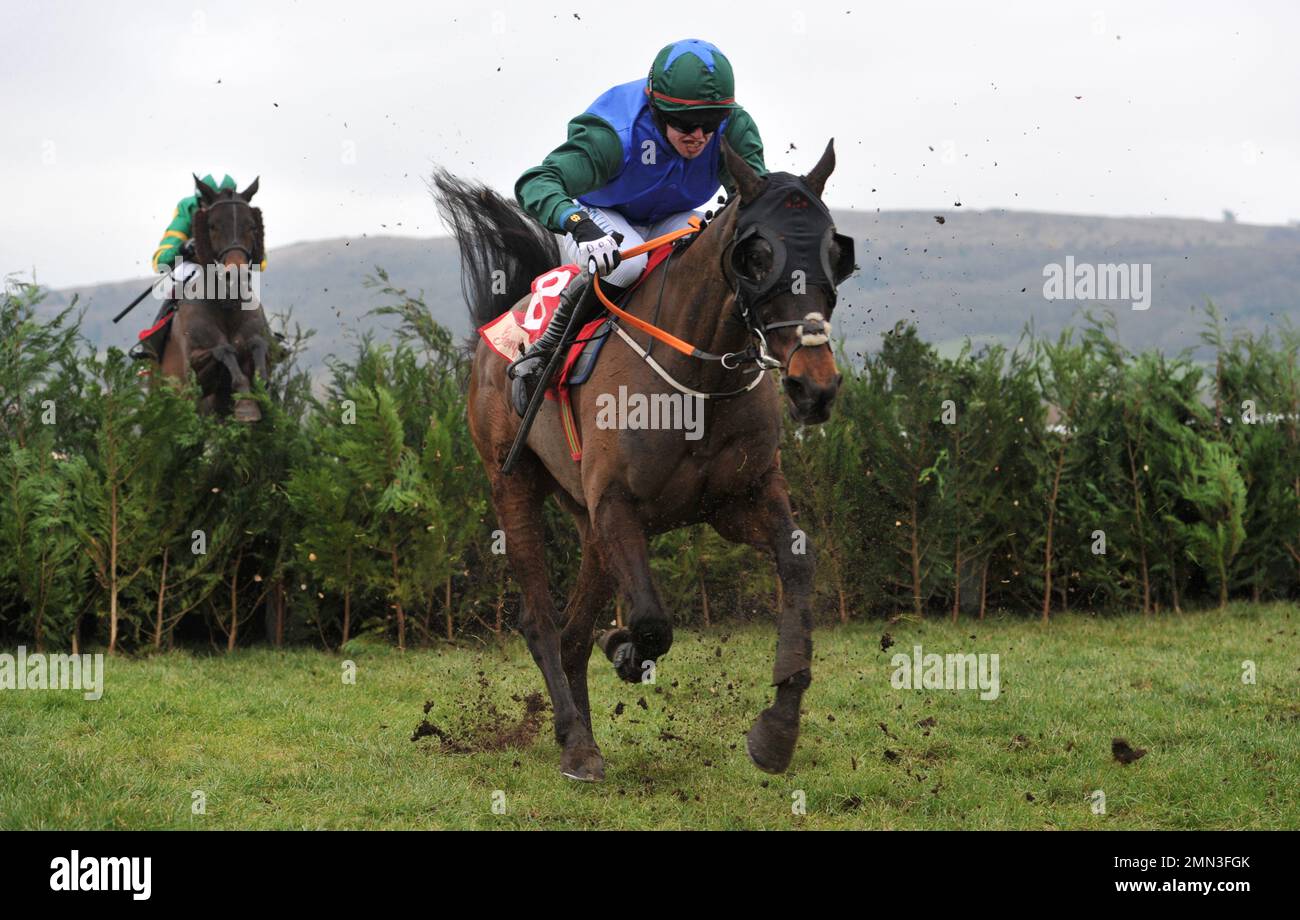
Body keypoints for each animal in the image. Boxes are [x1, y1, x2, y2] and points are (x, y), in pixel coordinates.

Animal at [161, 175, 275, 421]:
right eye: (212, 225)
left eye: (252, 226)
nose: (236, 275)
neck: (226, 306)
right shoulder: (196, 370)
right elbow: (223, 349)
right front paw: (246, 405)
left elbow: (258, 345)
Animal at [434, 140, 852, 779]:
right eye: (756, 256)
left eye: (834, 251)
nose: (815, 386)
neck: (697, 382)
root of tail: (500, 325)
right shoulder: (617, 505)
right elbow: (652, 622)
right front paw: (626, 647)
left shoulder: (741, 498)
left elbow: (798, 564)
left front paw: (777, 731)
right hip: (513, 486)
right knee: (541, 623)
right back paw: (577, 743)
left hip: (588, 525)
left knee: (573, 633)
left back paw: (581, 732)